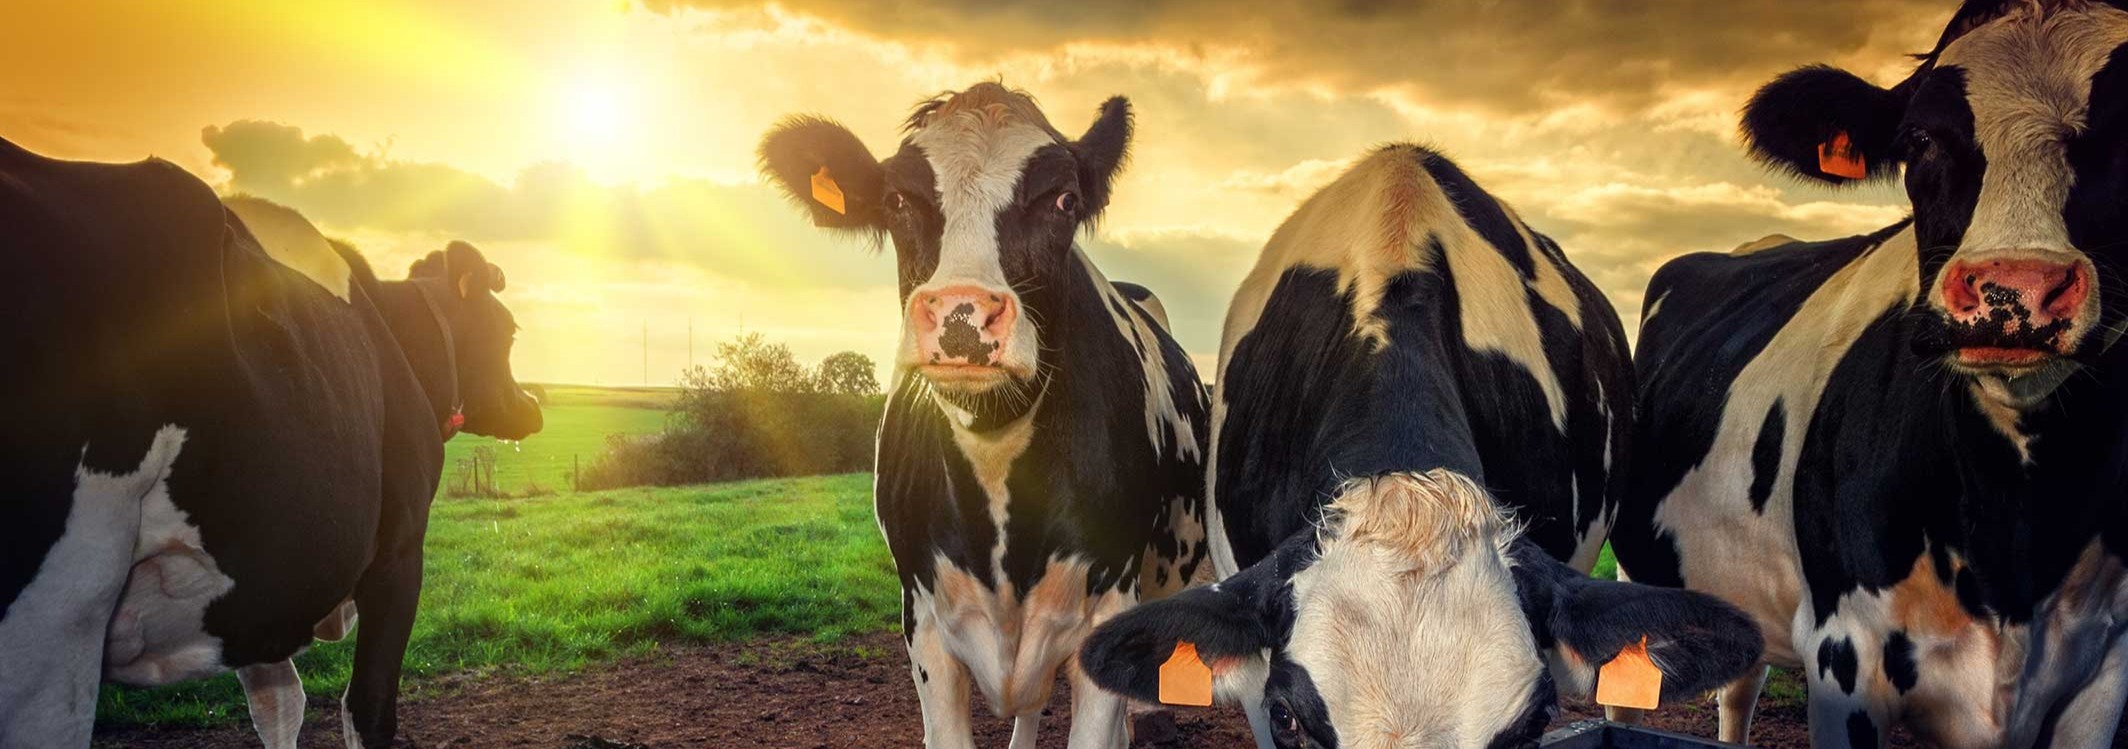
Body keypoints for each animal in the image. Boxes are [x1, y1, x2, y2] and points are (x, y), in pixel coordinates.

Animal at [0, 141, 540, 749]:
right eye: (509, 331)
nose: (534, 405)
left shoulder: (262, 586)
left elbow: (279, 703)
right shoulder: (398, 550)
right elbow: (368, 710)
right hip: (60, 619)